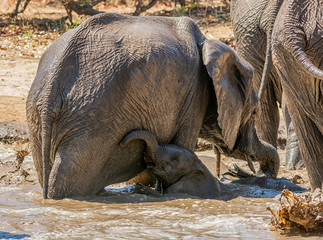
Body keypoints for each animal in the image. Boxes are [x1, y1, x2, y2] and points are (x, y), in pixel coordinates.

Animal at [27, 13, 280, 201]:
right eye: (254, 112)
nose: (260, 172)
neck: (211, 44)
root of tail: (51, 88)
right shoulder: (195, 94)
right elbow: (184, 143)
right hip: (91, 119)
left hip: (39, 117)